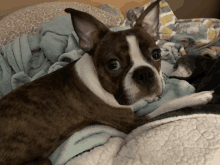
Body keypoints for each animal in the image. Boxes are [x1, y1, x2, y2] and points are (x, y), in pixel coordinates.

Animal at [0, 0, 214, 164]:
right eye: (113, 64)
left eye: (156, 54)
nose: (144, 73)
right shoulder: (134, 122)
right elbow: (168, 105)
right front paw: (199, 96)